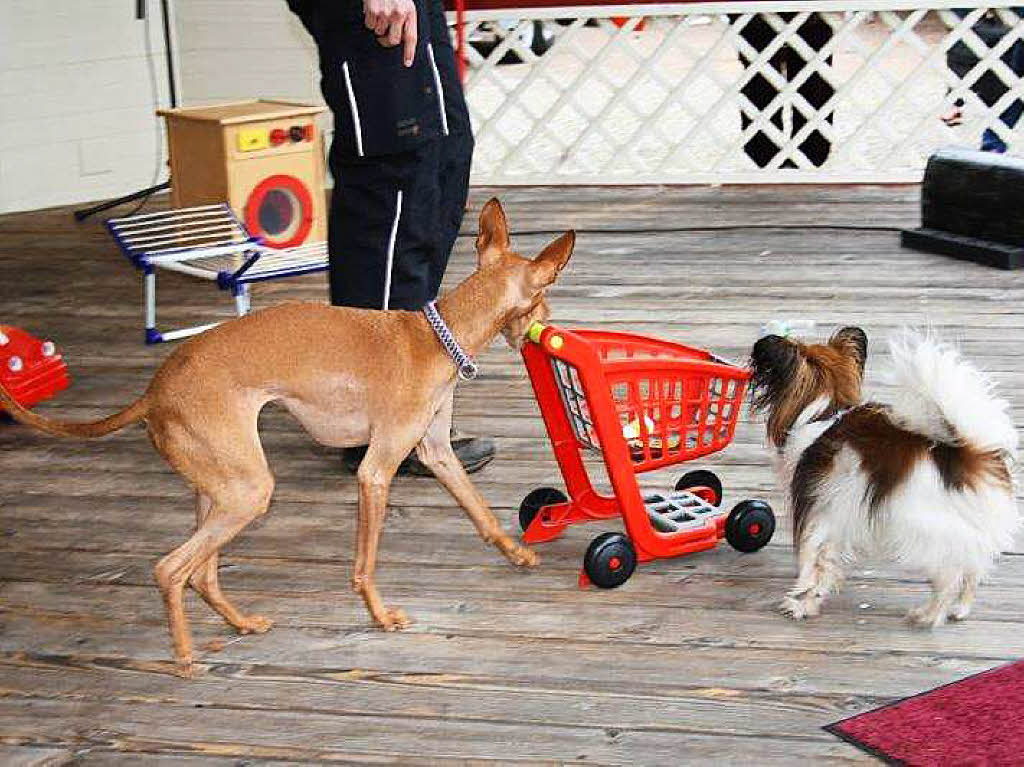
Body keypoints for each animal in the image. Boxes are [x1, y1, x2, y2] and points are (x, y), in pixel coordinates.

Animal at [4, 198, 573, 675]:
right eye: (546, 295)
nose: (552, 325)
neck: (436, 337)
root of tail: (154, 390)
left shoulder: (437, 454)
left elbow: (481, 512)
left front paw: (518, 554)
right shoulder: (375, 472)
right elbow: (365, 564)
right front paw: (380, 616)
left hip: (221, 491)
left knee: (202, 573)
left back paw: (241, 624)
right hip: (248, 492)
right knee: (170, 569)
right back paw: (186, 656)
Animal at [749, 325, 1019, 626]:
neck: (825, 411)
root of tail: (970, 453)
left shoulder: (815, 511)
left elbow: (812, 563)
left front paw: (800, 603)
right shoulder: (838, 516)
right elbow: (827, 563)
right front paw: (811, 602)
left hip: (920, 525)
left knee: (949, 574)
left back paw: (929, 615)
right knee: (973, 568)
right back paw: (959, 610)